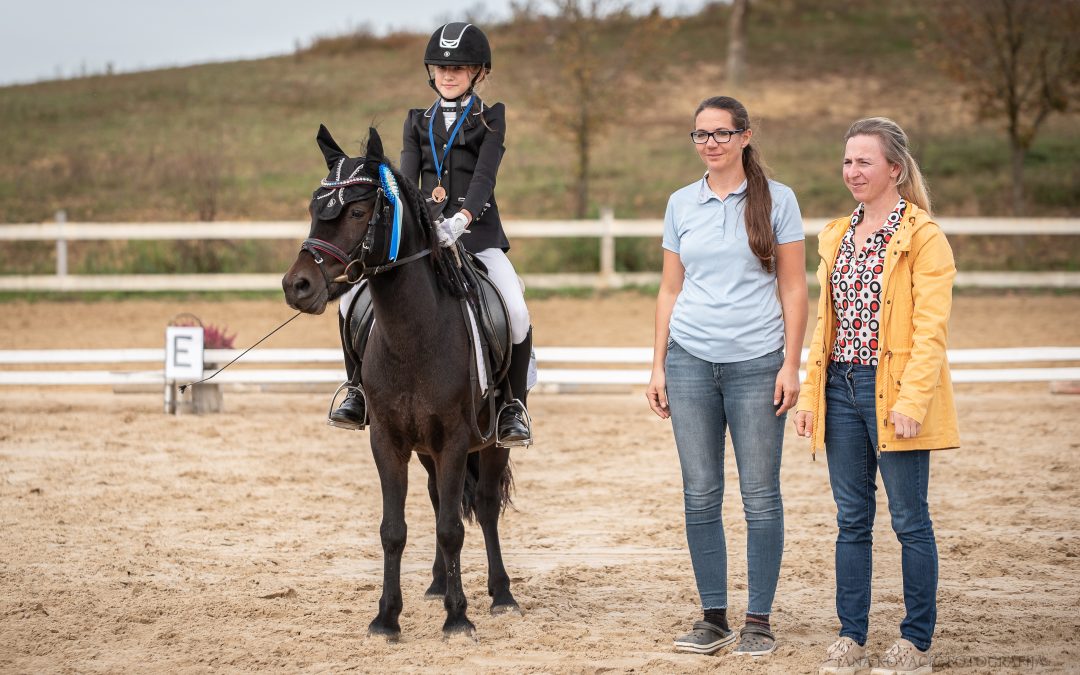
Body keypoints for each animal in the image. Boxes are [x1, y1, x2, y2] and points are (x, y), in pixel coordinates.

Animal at [278, 126, 514, 635]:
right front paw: (387, 617)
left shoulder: (456, 438)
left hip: (491, 442)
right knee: (437, 499)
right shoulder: (388, 438)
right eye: (314, 208)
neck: (413, 335)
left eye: (358, 211)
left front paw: (458, 618)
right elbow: (394, 530)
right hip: (424, 449)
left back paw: (501, 594)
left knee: (484, 506)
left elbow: (452, 528)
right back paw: (438, 585)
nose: (297, 286)